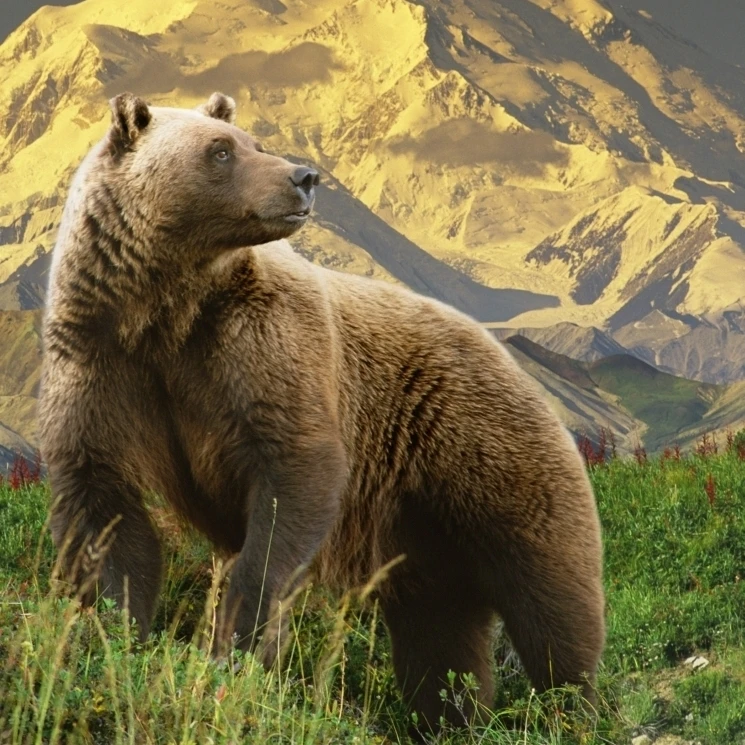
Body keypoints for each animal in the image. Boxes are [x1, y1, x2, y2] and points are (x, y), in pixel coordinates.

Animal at [39, 91, 605, 737]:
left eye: (252, 141)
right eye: (221, 151)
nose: (303, 177)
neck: (167, 306)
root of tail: (509, 356)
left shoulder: (261, 345)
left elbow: (293, 475)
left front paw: (238, 644)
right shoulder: (101, 358)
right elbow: (102, 506)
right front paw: (115, 632)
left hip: (490, 454)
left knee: (551, 598)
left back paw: (570, 707)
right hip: (422, 530)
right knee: (440, 635)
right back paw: (453, 717)